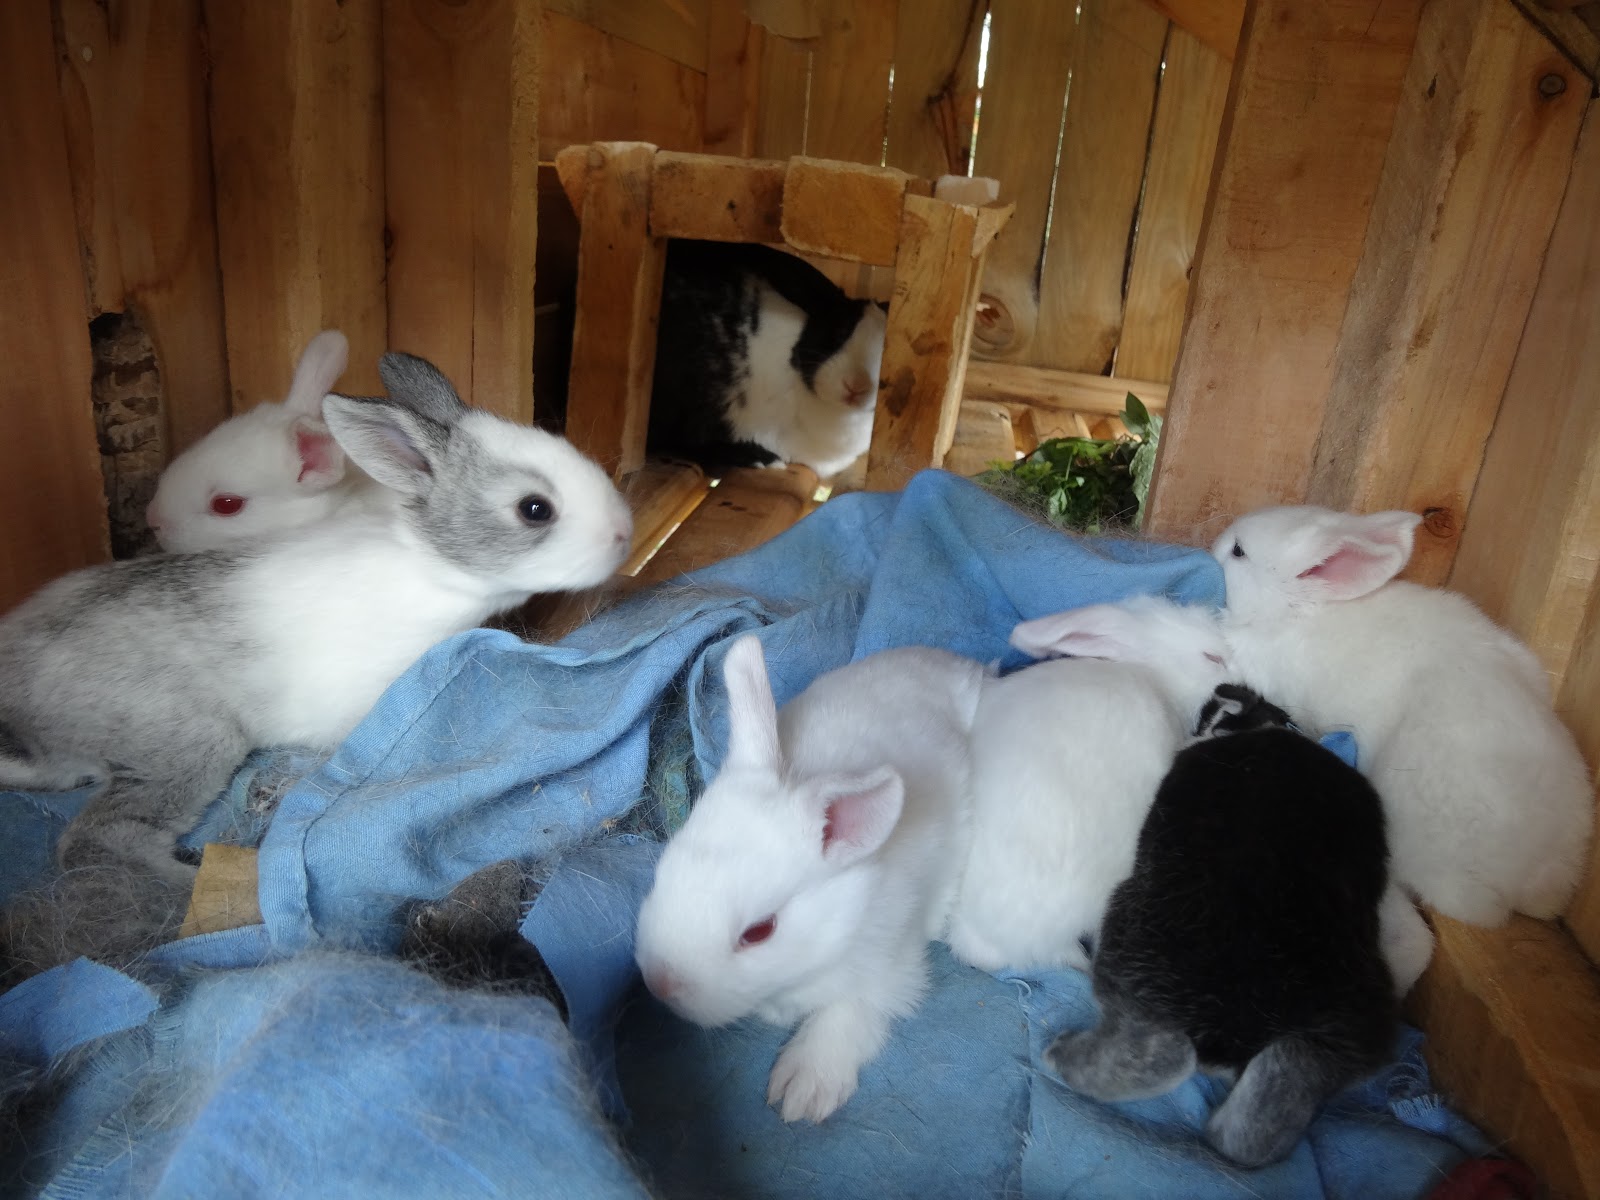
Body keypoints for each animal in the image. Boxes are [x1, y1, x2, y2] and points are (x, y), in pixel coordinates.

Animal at [633, 634, 987, 1123]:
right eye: (665, 871)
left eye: (759, 932)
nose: (658, 983)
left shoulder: (890, 965)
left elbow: (850, 1011)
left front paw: (802, 1090)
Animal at [1047, 683, 1398, 1169]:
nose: (1214, 699)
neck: (1260, 732)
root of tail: (1233, 1037)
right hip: (1351, 1023)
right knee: (1284, 1083)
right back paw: (1232, 1139)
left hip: (1131, 939)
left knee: (1160, 1055)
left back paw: (1061, 1056)